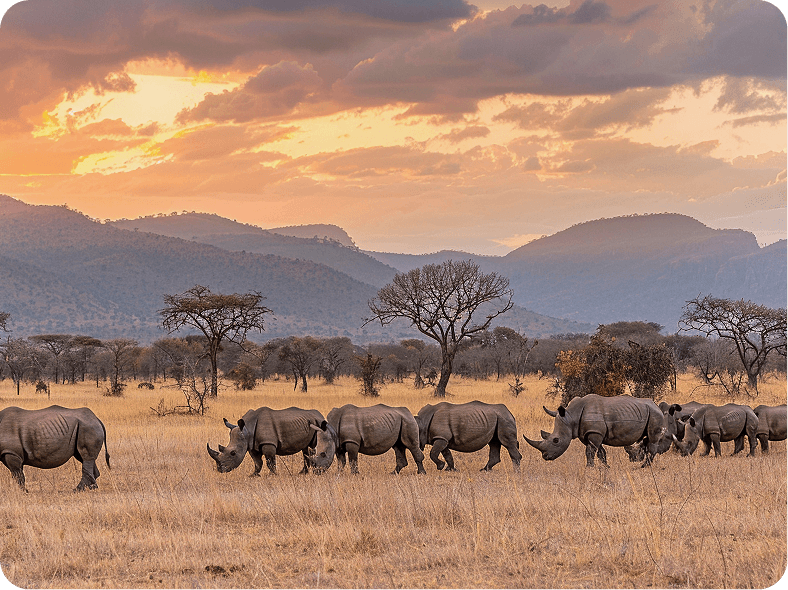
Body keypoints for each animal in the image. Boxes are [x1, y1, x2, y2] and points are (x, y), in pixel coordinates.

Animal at [524, 394, 668, 467]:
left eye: (556, 440)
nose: (545, 457)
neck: (571, 416)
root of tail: (656, 404)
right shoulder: (588, 433)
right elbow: (600, 452)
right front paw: (605, 467)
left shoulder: (595, 433)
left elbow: (590, 451)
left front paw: (589, 467)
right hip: (648, 412)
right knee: (646, 439)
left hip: (655, 414)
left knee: (652, 439)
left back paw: (645, 466)